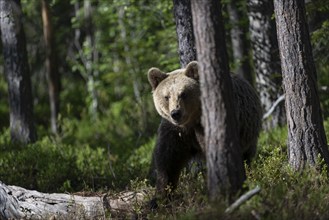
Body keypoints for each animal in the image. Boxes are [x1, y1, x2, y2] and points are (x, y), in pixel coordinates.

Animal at [146, 60, 262, 199]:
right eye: (166, 96)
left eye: (183, 93)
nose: (176, 113)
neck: (192, 120)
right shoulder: (175, 131)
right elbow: (168, 160)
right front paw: (160, 195)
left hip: (248, 131)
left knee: (246, 156)